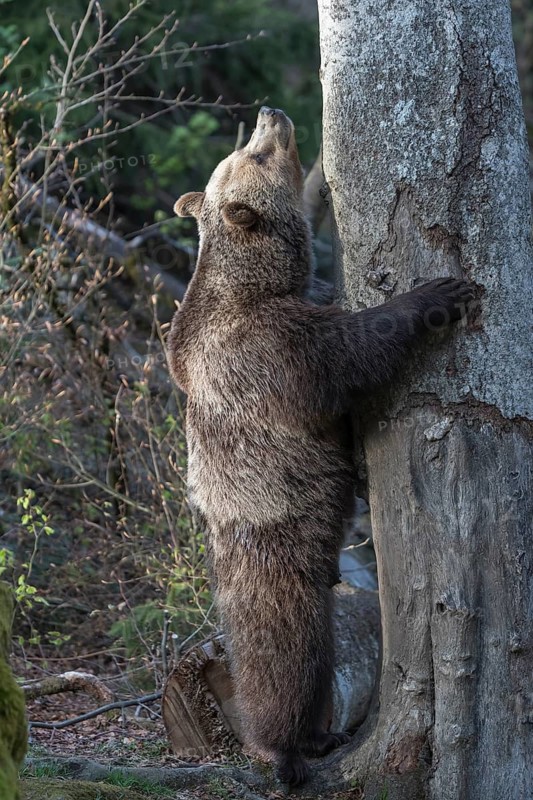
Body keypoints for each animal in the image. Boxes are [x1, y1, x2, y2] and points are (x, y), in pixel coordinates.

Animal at [167, 106, 473, 785]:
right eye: (253, 156)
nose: (270, 113)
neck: (257, 285)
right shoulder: (271, 352)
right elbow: (350, 352)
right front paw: (437, 295)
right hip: (282, 556)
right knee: (290, 655)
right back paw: (288, 747)